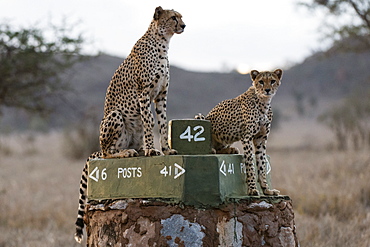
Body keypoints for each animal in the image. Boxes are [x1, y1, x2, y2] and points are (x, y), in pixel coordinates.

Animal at [73, 6, 185, 243]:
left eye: (181, 17)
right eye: (173, 18)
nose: (184, 25)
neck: (162, 42)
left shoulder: (161, 95)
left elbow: (162, 123)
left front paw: (166, 149)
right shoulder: (144, 93)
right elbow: (150, 122)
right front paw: (153, 150)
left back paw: (139, 149)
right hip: (115, 116)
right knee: (108, 153)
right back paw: (127, 152)